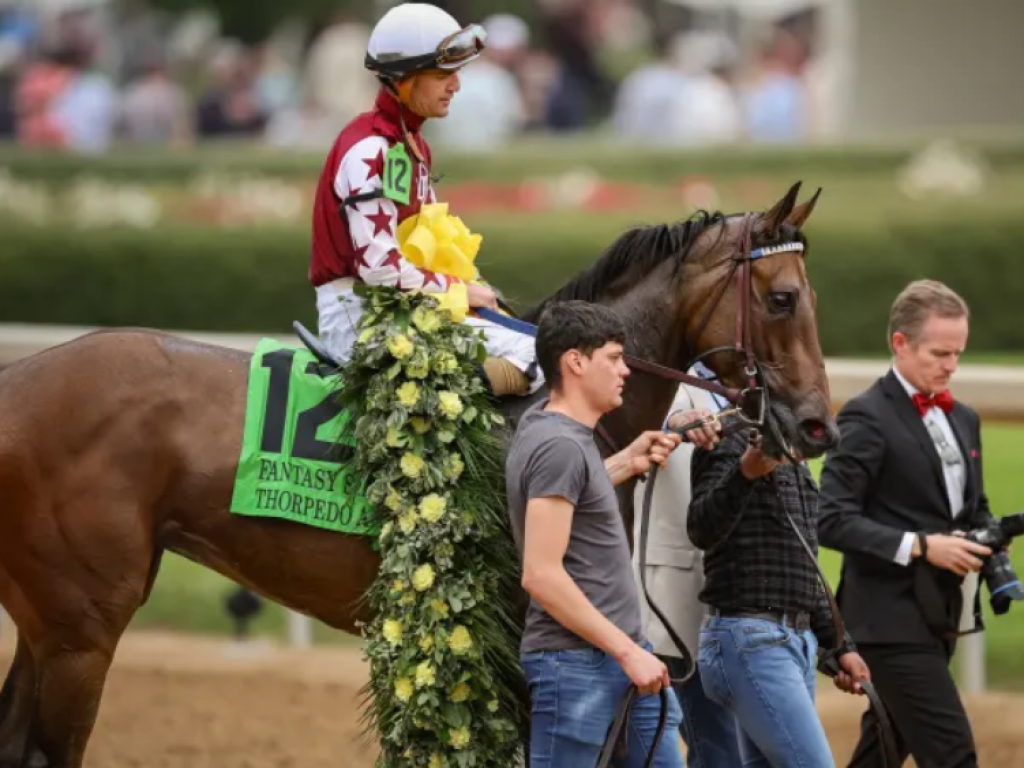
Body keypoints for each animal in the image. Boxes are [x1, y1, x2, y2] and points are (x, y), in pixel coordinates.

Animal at [0, 182, 839, 768]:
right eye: (782, 298)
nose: (816, 425)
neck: (556, 401)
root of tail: (17, 381)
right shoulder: (526, 638)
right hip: (81, 630)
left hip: (51, 626)